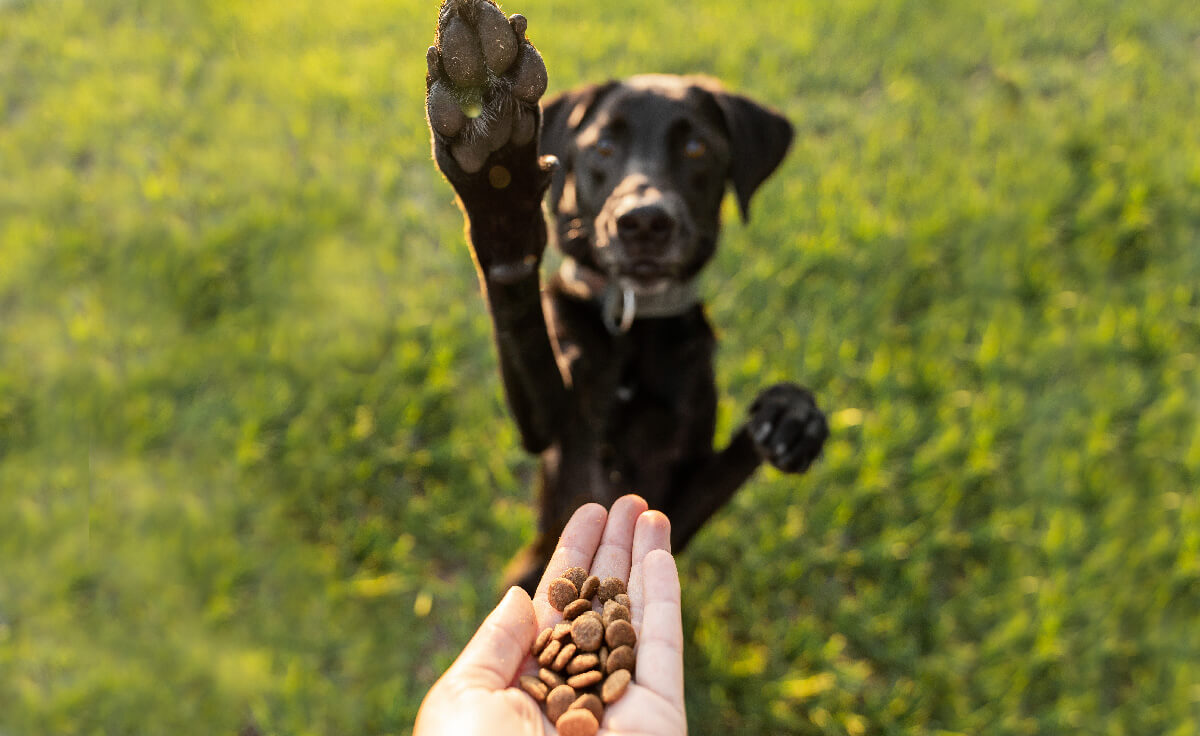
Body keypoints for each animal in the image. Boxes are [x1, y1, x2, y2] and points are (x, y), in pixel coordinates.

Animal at [422, 0, 825, 588]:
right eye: (604, 146)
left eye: (696, 147)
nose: (645, 222)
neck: (633, 322)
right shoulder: (549, 428)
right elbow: (520, 317)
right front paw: (497, 176)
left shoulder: (672, 507)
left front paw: (791, 416)